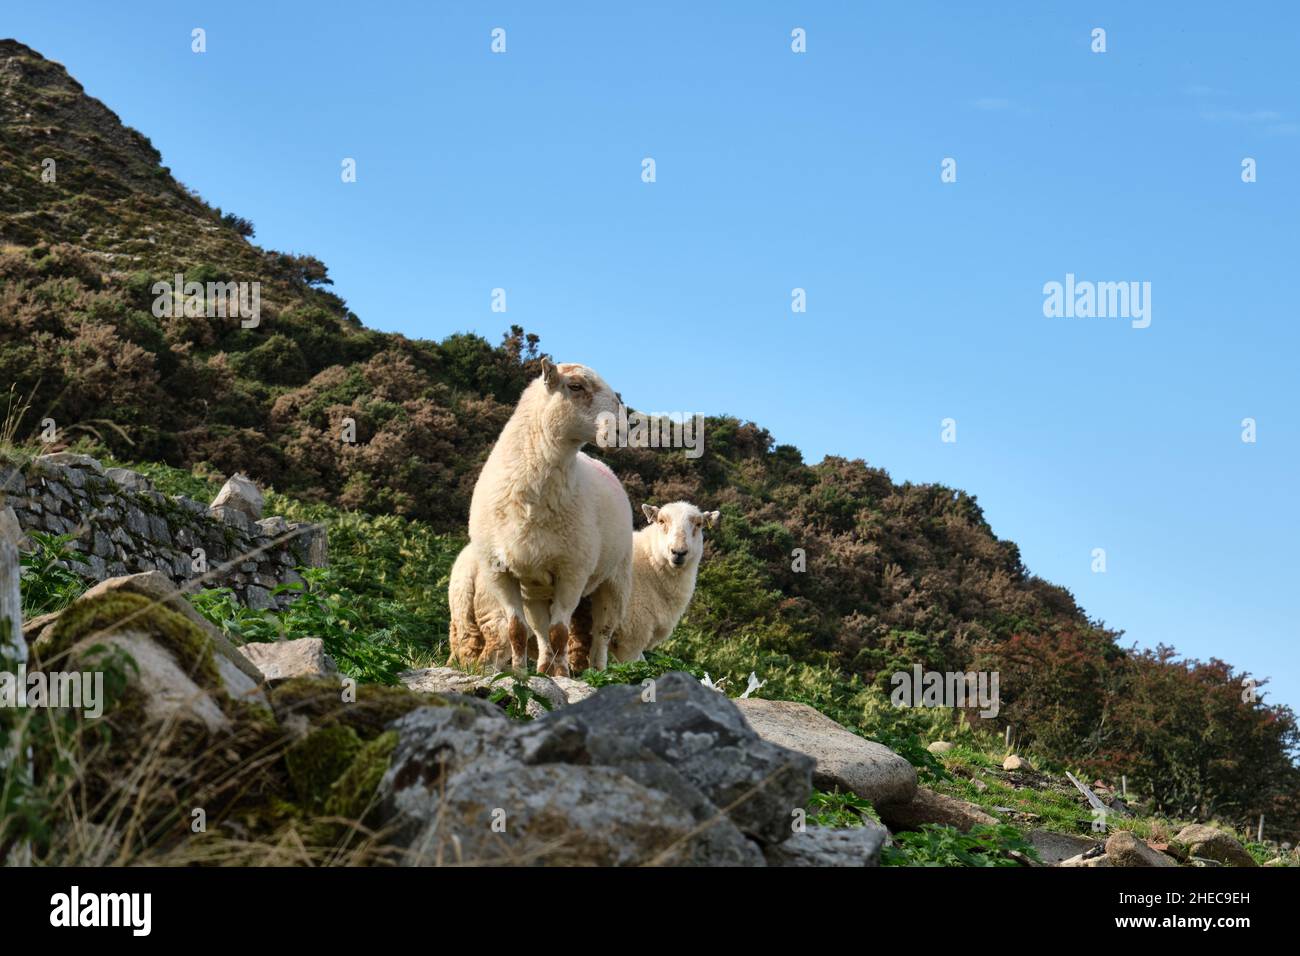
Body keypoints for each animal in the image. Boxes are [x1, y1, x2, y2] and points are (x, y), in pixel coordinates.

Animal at [467, 360, 633, 676]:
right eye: (576, 386)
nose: (622, 431)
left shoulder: (573, 571)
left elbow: (560, 632)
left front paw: (563, 676)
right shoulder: (499, 572)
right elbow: (517, 629)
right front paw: (519, 673)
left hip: (615, 579)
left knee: (602, 633)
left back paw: (596, 671)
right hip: (535, 587)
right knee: (539, 631)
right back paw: (543, 667)